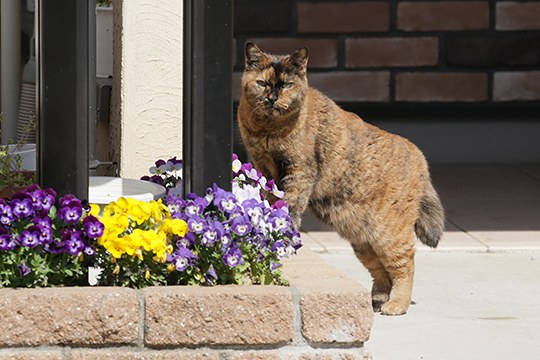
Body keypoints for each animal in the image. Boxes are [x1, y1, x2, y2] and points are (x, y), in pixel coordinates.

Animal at [238, 42, 446, 316]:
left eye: (286, 85)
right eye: (262, 83)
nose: (272, 97)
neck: (268, 130)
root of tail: (420, 157)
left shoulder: (298, 172)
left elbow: (290, 207)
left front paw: (282, 231)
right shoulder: (263, 167)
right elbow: (269, 200)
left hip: (389, 232)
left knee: (405, 265)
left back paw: (396, 304)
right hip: (362, 239)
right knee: (381, 270)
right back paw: (378, 300)